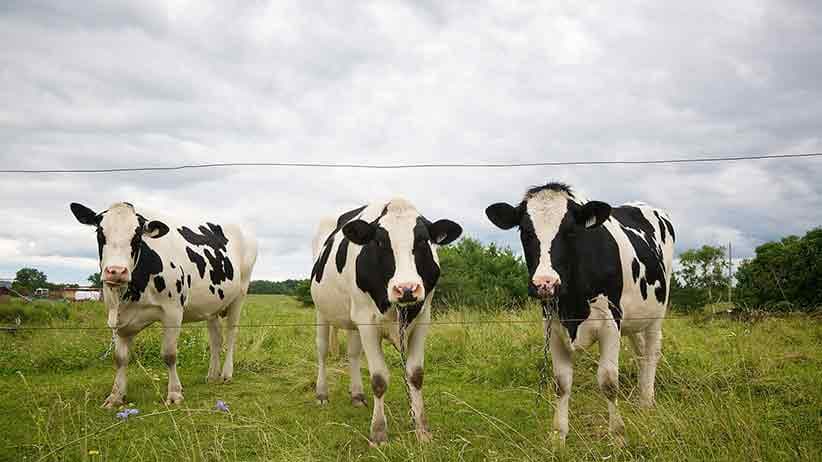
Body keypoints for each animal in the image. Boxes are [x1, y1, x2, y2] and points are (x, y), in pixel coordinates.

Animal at [70, 202, 257, 408]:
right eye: (100, 233)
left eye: (137, 236)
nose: (116, 271)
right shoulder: (118, 318)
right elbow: (120, 358)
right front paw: (116, 396)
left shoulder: (173, 311)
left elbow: (169, 354)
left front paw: (175, 394)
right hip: (212, 306)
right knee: (216, 339)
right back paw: (212, 375)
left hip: (240, 294)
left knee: (231, 335)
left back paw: (226, 374)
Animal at [310, 198, 462, 445]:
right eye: (380, 242)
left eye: (423, 240)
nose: (406, 288)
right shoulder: (367, 321)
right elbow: (379, 379)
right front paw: (379, 432)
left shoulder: (423, 319)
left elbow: (415, 374)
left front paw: (421, 429)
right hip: (322, 311)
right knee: (322, 350)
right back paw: (322, 393)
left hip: (353, 320)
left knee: (353, 354)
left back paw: (357, 395)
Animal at [485, 182, 674, 445]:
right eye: (525, 231)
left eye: (571, 231)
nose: (545, 283)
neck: (572, 306)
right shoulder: (553, 326)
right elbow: (562, 382)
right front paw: (558, 435)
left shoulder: (610, 322)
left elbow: (608, 381)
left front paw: (618, 436)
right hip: (635, 318)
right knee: (641, 355)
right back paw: (641, 399)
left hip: (656, 314)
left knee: (652, 353)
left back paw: (647, 403)